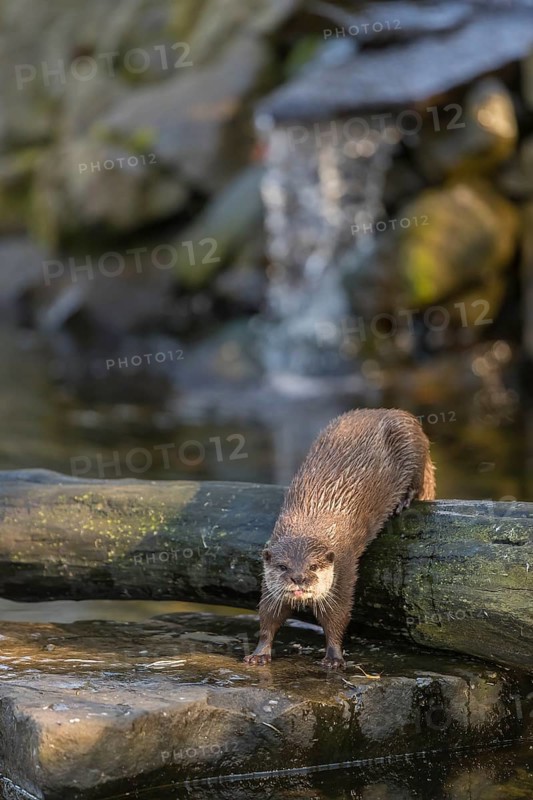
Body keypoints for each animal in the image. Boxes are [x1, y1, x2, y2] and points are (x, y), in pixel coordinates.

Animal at [244, 408, 436, 669]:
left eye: (313, 566)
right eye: (283, 566)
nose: (298, 578)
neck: (309, 523)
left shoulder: (343, 571)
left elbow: (337, 618)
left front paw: (334, 658)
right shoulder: (270, 583)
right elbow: (268, 617)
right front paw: (259, 653)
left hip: (411, 445)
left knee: (417, 481)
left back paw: (404, 502)